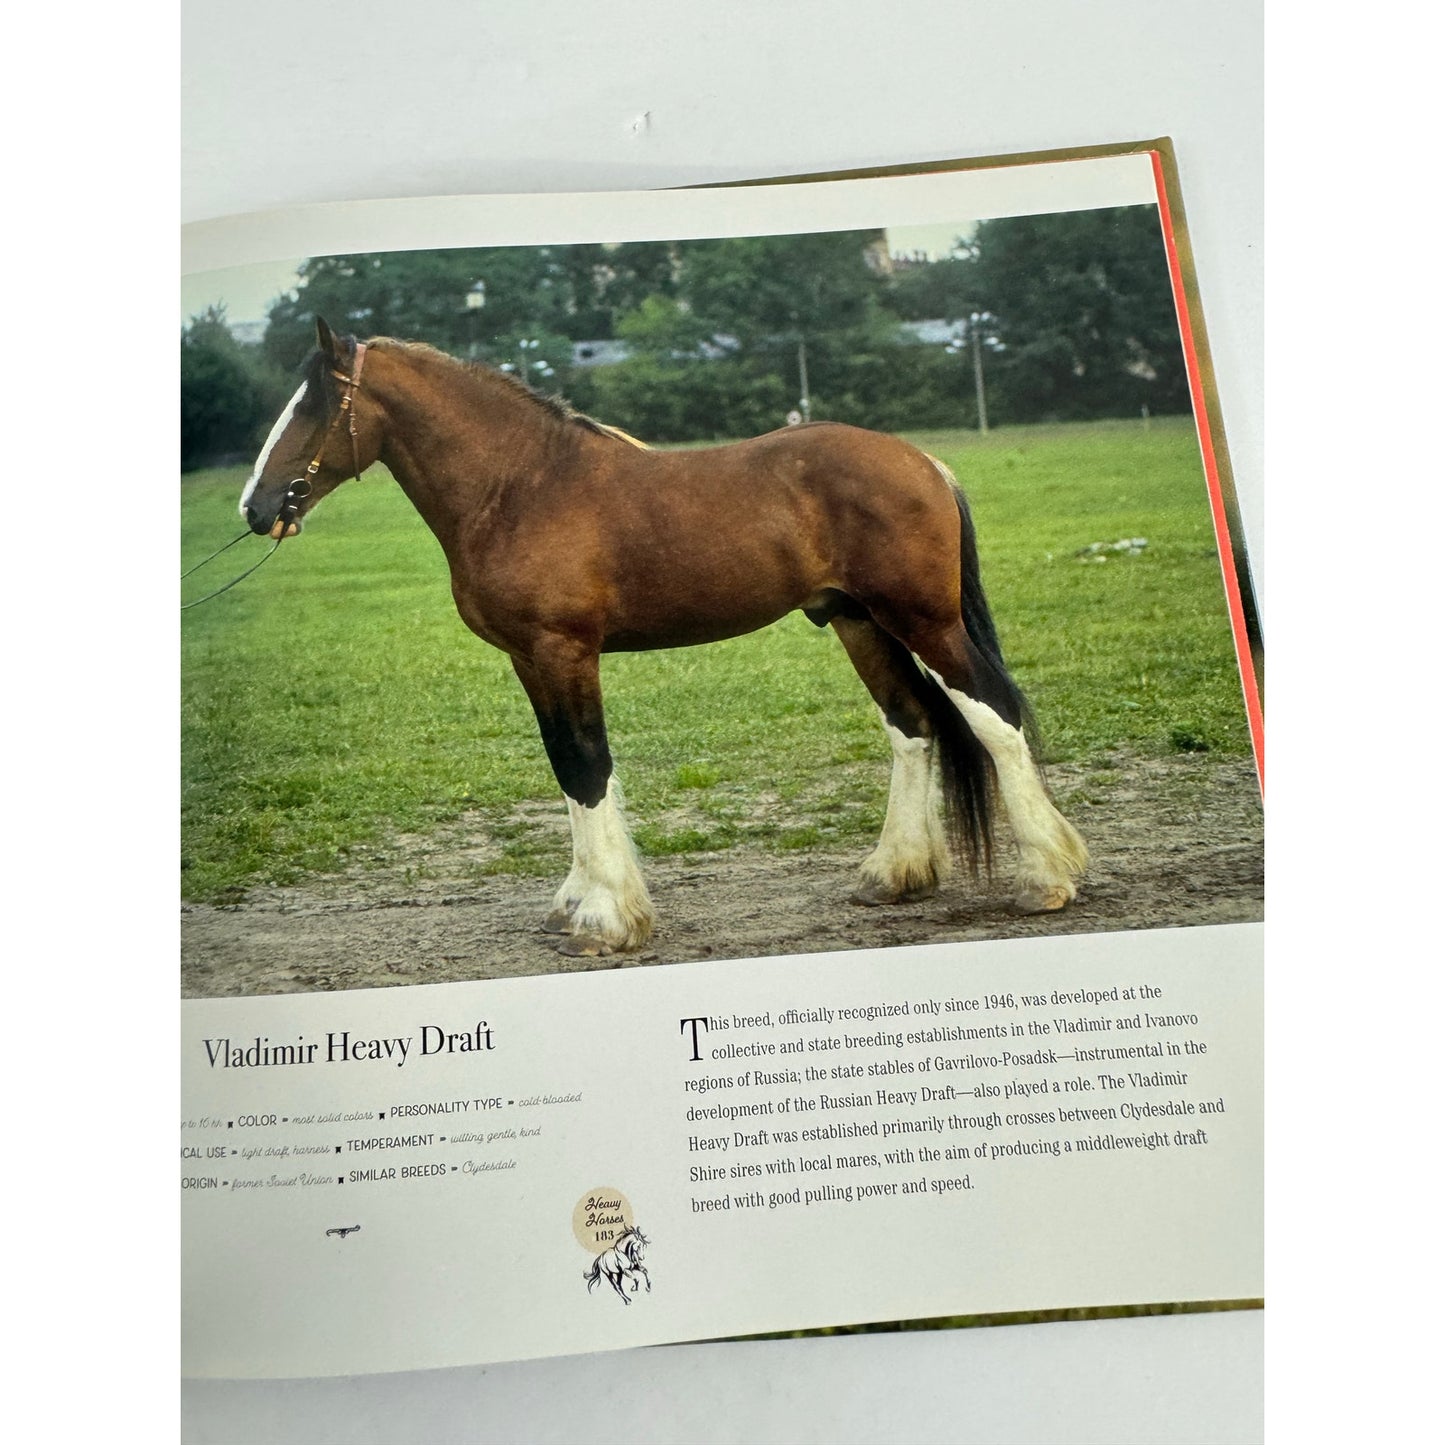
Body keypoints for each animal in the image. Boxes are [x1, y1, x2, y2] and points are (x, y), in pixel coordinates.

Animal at [238, 318, 1087, 957]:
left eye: (315, 404)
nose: (256, 505)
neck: (521, 487)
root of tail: (925, 462)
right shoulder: (529, 661)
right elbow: (565, 766)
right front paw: (579, 899)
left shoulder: (563, 650)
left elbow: (586, 766)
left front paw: (607, 918)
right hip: (857, 622)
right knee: (911, 725)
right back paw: (893, 873)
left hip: (923, 620)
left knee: (995, 718)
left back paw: (1046, 878)